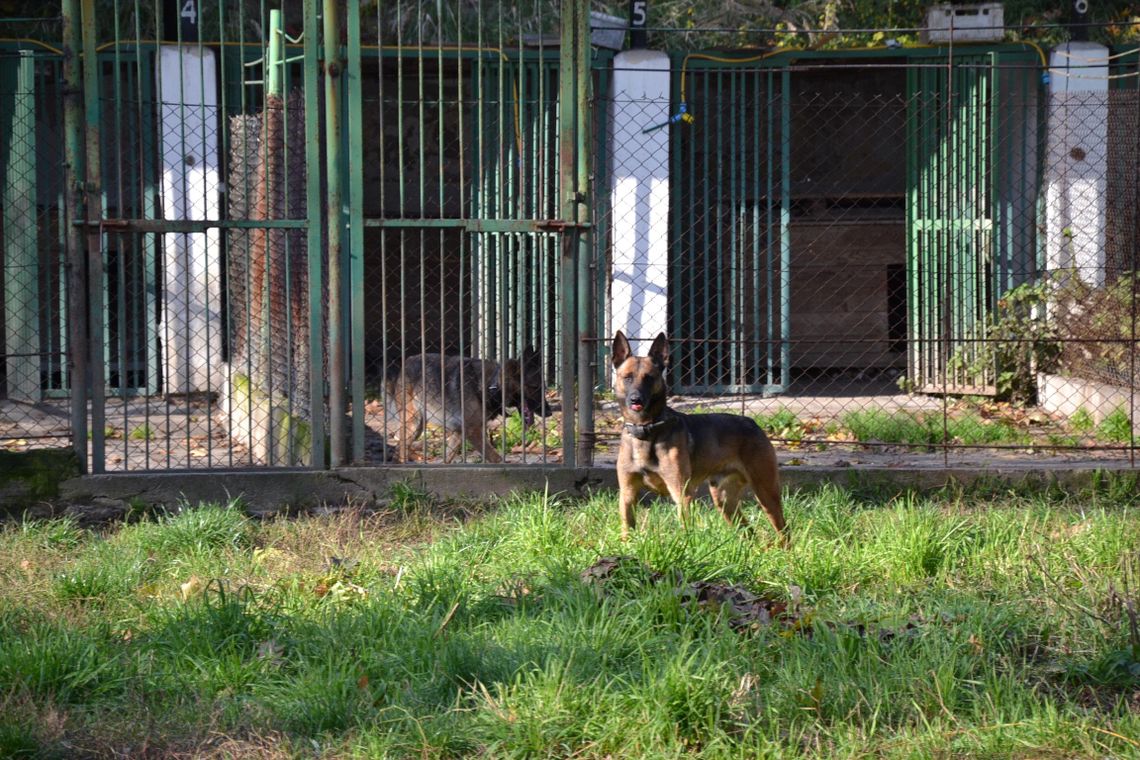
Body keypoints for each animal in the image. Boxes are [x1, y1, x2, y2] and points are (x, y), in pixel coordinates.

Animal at [385, 346, 554, 464]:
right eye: (534, 387)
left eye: (544, 388)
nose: (549, 413)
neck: (491, 385)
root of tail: (407, 361)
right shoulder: (473, 432)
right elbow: (496, 458)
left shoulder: (460, 433)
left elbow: (447, 458)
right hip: (414, 423)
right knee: (401, 449)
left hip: (417, 426)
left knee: (399, 449)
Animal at [615, 330, 784, 544]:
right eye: (627, 377)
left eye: (649, 378)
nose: (635, 399)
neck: (646, 431)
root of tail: (752, 423)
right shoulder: (627, 494)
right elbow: (627, 529)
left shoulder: (682, 493)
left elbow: (685, 529)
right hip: (724, 501)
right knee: (748, 532)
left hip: (766, 492)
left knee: (784, 531)